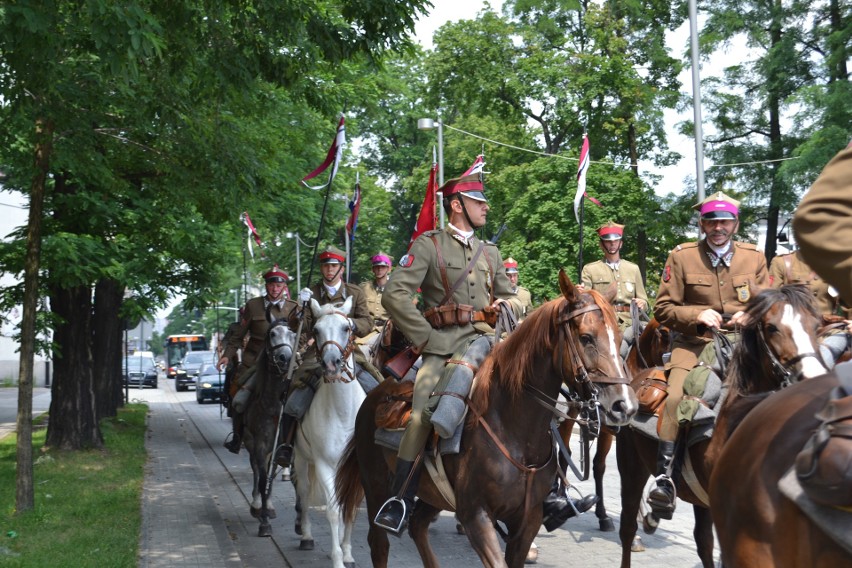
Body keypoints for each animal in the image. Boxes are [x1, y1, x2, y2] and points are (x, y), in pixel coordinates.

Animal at [241, 316, 298, 536]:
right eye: (272, 334)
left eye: (293, 335)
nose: (285, 358)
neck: (272, 406)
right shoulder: (259, 445)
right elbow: (263, 478)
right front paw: (263, 520)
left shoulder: (279, 447)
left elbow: (271, 476)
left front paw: (269, 509)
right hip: (250, 443)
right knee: (257, 470)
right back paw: (257, 504)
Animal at [292, 298, 366, 568]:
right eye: (316, 330)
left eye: (347, 328)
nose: (332, 364)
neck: (343, 413)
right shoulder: (325, 465)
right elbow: (333, 511)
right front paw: (337, 559)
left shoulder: (356, 470)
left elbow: (350, 508)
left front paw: (347, 553)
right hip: (301, 459)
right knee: (303, 492)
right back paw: (306, 535)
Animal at [332, 272, 640, 568]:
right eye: (586, 337)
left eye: (617, 336)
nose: (624, 405)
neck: (516, 432)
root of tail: (376, 392)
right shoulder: (476, 516)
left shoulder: (526, 522)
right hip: (376, 488)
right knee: (380, 544)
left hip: (434, 495)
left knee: (418, 525)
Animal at [616, 284, 828, 568]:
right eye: (771, 327)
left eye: (816, 325)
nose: (813, 378)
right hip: (631, 469)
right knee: (628, 528)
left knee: (703, 541)